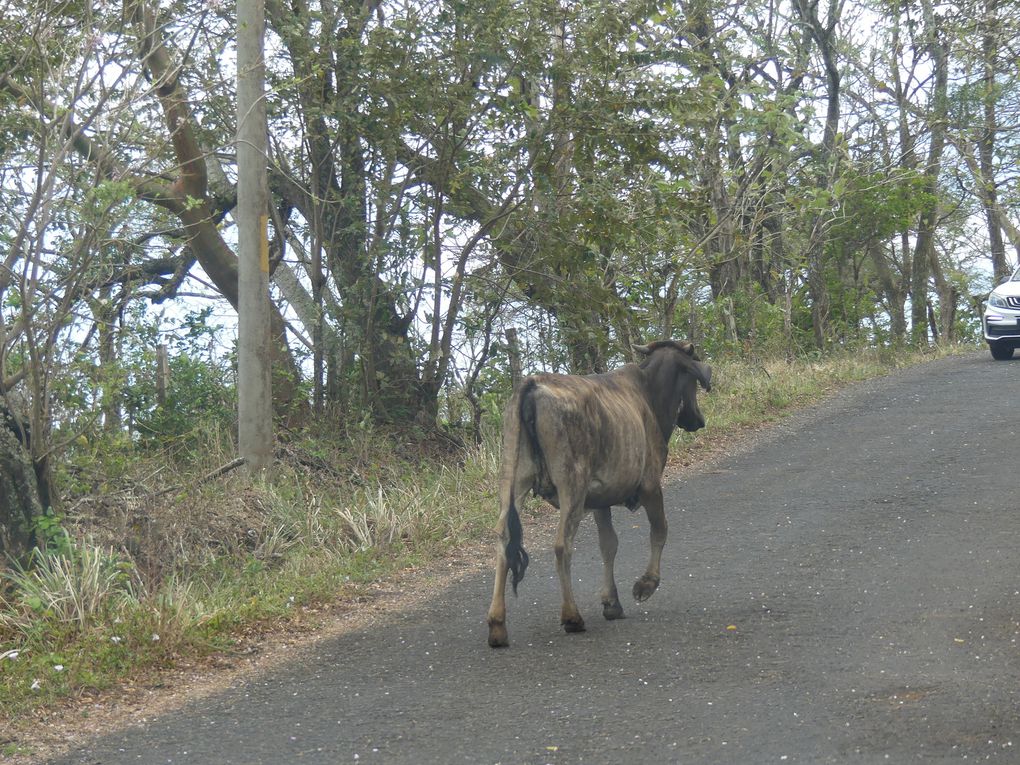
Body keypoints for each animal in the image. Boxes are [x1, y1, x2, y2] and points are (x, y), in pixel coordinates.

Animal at [487, 340, 714, 648]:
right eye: (691, 380)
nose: (697, 420)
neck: (649, 394)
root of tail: (531, 384)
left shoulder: (600, 500)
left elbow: (609, 544)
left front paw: (611, 602)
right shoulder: (650, 485)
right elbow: (659, 530)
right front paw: (646, 585)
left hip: (512, 478)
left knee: (503, 538)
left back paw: (497, 626)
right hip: (572, 483)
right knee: (562, 544)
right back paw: (572, 616)